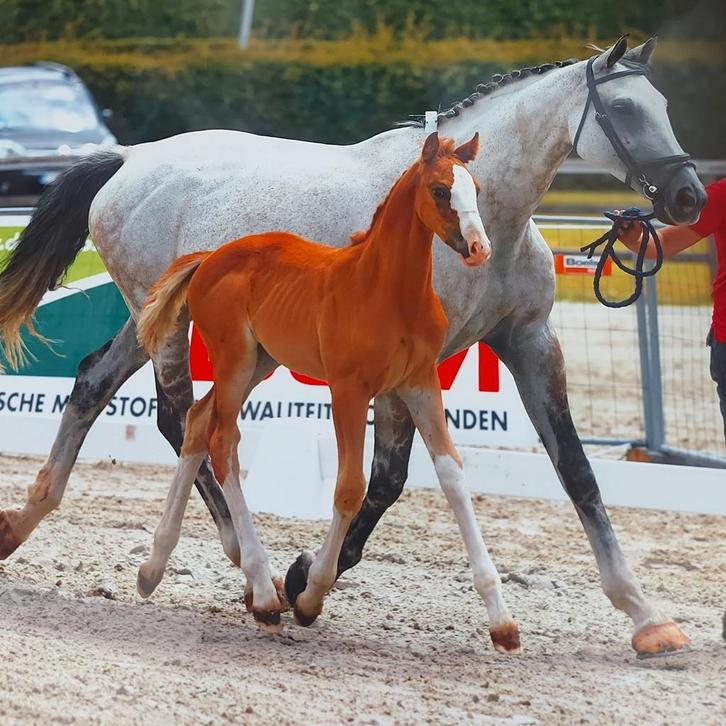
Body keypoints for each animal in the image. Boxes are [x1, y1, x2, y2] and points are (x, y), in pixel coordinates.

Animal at [133, 132, 521, 650]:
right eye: (440, 190)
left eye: (474, 188)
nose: (479, 248)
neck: (388, 291)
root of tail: (209, 257)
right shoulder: (349, 390)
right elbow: (349, 488)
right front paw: (310, 595)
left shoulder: (419, 383)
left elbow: (453, 477)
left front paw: (503, 623)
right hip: (235, 361)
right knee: (222, 442)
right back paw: (263, 594)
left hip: (261, 362)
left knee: (198, 423)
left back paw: (154, 569)